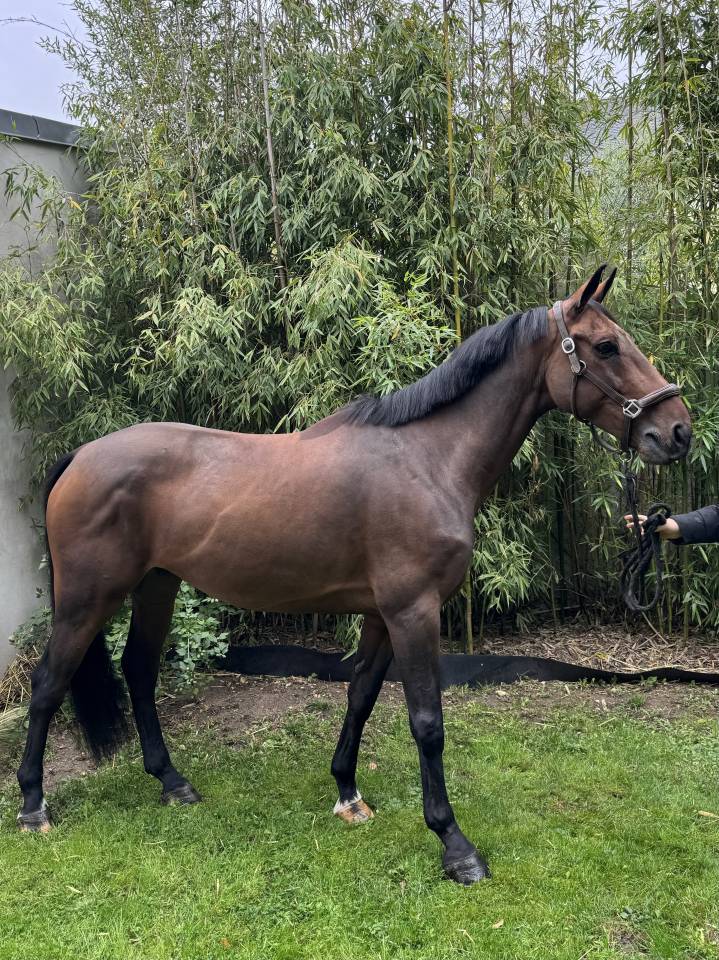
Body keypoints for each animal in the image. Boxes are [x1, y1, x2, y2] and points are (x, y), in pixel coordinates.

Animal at [17, 265, 691, 885]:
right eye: (606, 346)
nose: (678, 431)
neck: (427, 459)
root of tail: (82, 455)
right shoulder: (413, 611)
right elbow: (426, 722)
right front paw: (454, 845)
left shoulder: (381, 614)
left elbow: (361, 696)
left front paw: (347, 793)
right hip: (88, 597)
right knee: (49, 683)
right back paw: (33, 806)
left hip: (158, 583)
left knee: (138, 670)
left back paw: (172, 782)